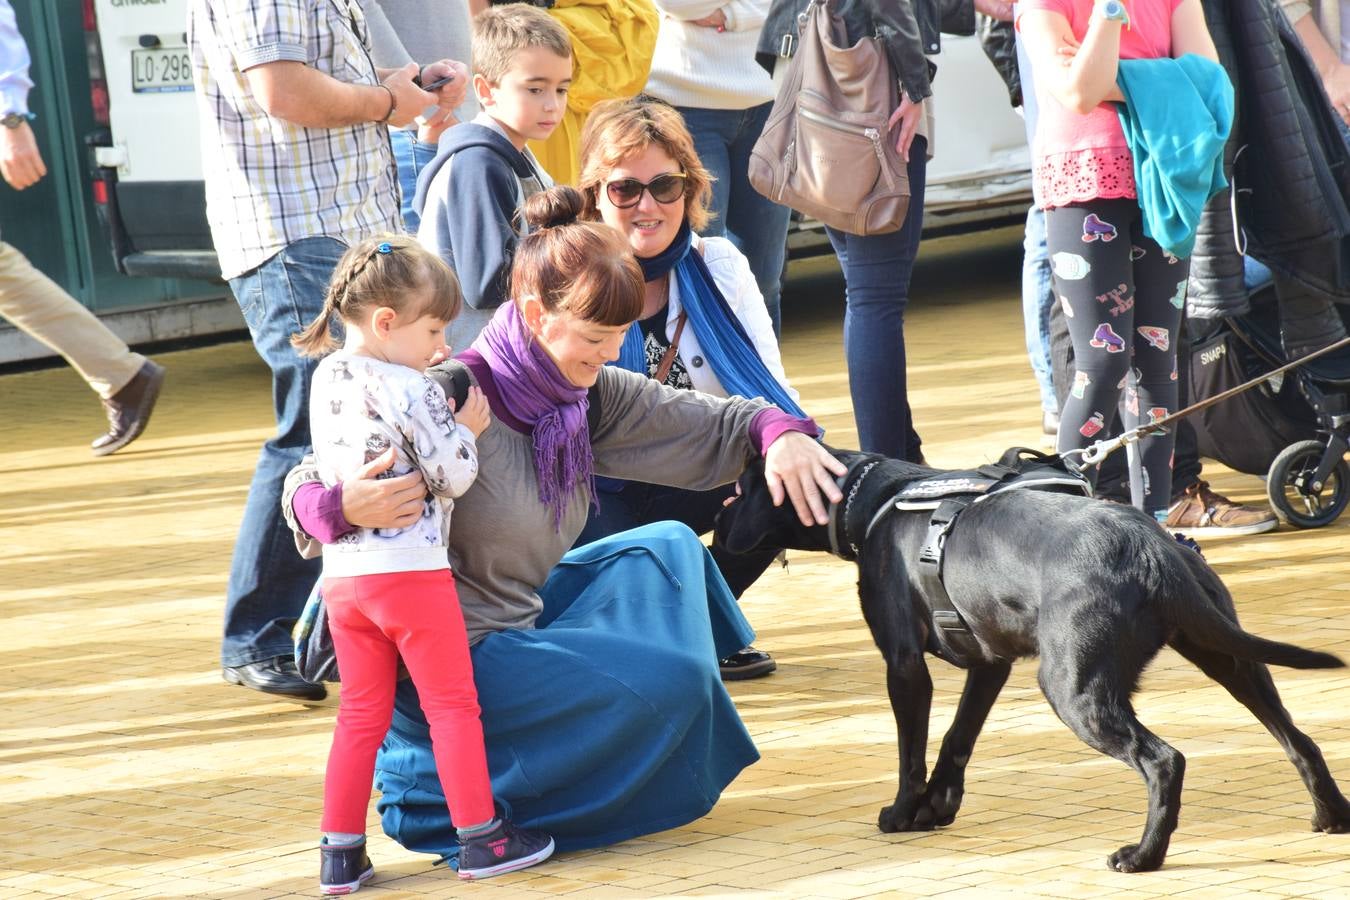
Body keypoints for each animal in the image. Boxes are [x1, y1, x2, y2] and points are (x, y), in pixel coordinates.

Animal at [718, 450, 1350, 874]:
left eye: (741, 490)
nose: (718, 527)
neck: (874, 497)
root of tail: (1153, 548)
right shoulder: (989, 662)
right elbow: (958, 737)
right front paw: (937, 807)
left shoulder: (904, 665)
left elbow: (911, 752)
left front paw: (902, 812)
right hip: (1230, 656)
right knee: (1299, 740)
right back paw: (1331, 817)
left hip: (1074, 688)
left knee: (1164, 760)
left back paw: (1143, 855)